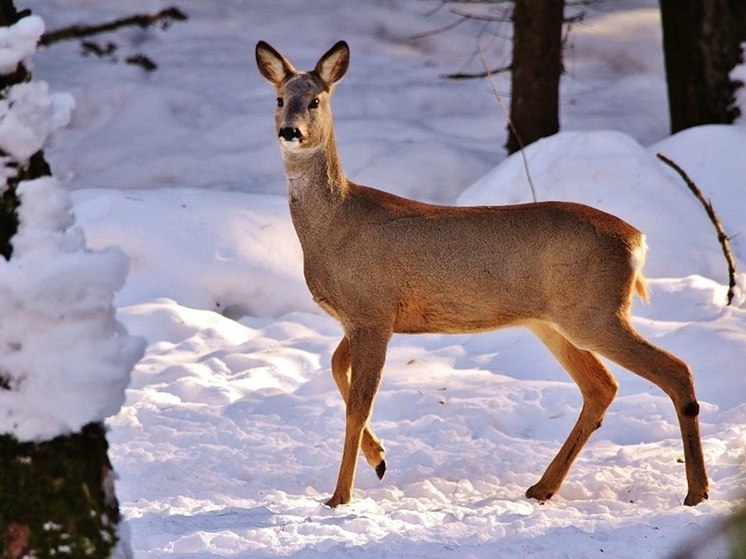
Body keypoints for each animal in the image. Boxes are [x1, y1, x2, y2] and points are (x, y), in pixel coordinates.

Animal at [253, 41, 708, 510]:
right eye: (279, 99)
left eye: (315, 100)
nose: (290, 131)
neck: (334, 224)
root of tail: (637, 239)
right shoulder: (364, 318)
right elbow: (334, 368)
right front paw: (379, 460)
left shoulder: (373, 311)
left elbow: (359, 404)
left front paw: (340, 496)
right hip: (552, 321)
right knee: (602, 387)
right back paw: (542, 487)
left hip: (595, 312)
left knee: (676, 370)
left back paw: (696, 491)